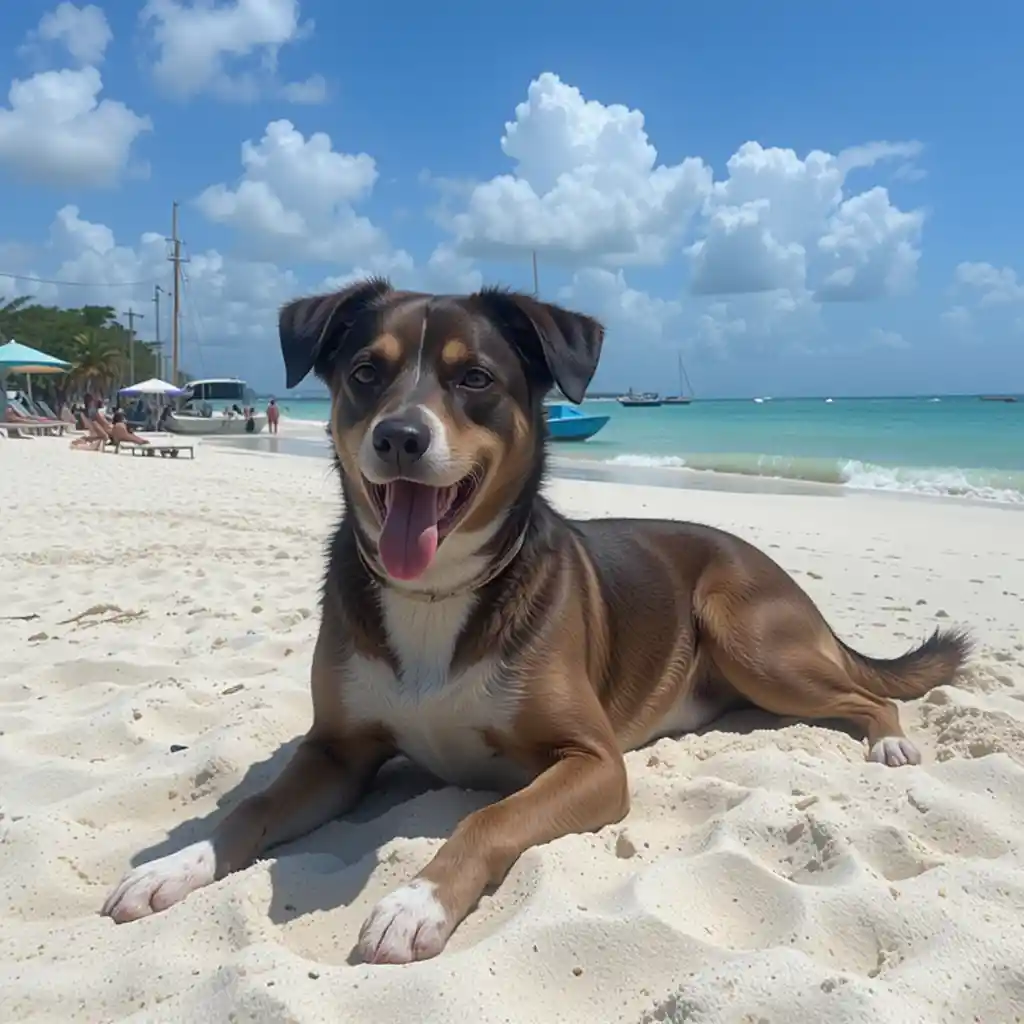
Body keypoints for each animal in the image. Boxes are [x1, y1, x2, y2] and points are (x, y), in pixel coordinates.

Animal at [99, 280, 970, 958]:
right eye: (366, 372)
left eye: (476, 377)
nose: (399, 436)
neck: (438, 593)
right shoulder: (337, 751)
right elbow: (251, 805)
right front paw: (176, 865)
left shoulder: (593, 760)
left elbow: (488, 818)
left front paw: (415, 902)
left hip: (754, 639)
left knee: (866, 693)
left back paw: (889, 740)